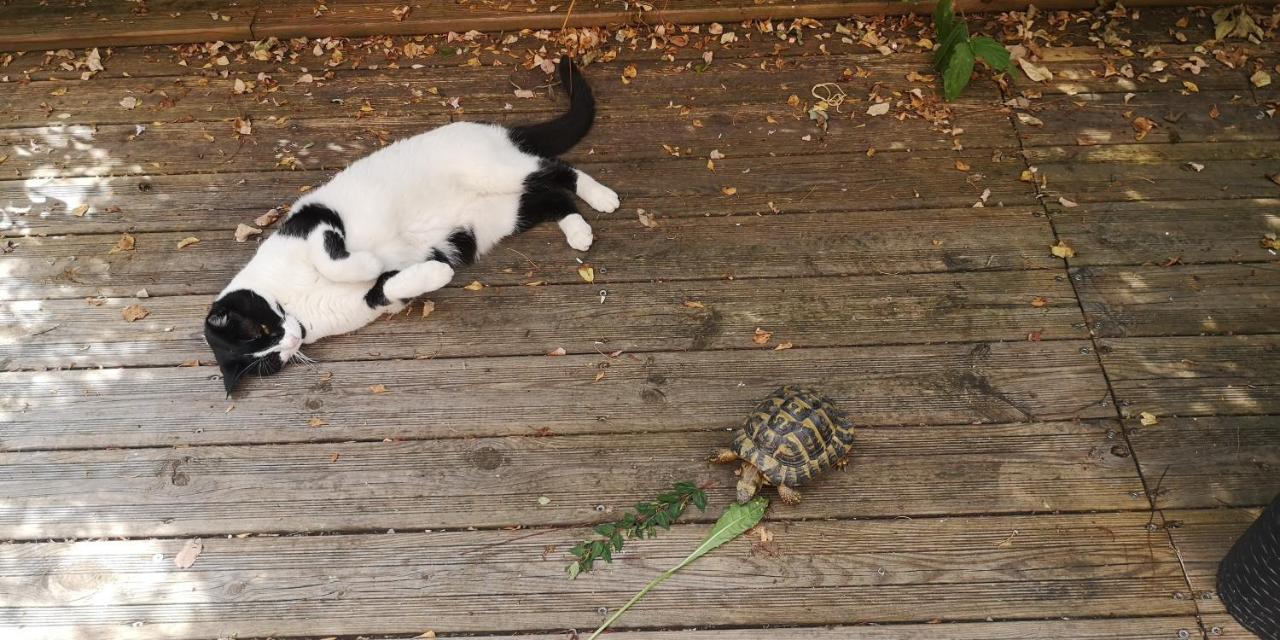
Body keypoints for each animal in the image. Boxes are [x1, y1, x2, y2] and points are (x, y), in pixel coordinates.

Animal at [203, 57, 614, 391]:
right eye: (270, 358)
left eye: (261, 330)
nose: (289, 341)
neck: (294, 303)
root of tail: (490, 127)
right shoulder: (376, 300)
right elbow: (394, 283)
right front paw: (436, 272)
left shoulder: (316, 219)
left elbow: (338, 261)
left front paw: (370, 261)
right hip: (506, 210)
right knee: (552, 198)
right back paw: (579, 230)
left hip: (496, 172)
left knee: (557, 169)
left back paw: (603, 197)